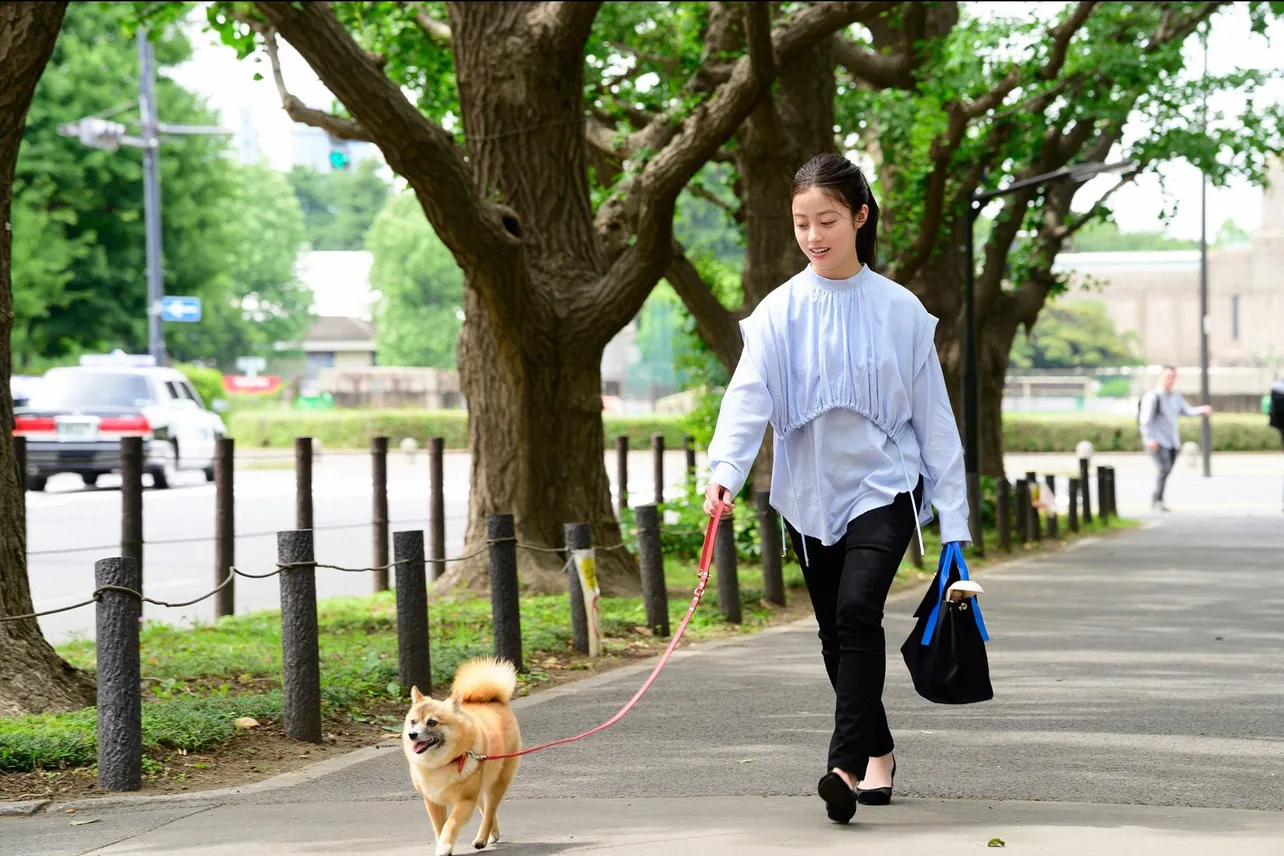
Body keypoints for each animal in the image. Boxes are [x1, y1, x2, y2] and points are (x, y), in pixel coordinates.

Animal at [400, 662, 521, 852]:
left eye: (432, 722)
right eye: (413, 722)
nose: (412, 735)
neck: (442, 763)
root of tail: (495, 700)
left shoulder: (464, 801)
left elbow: (450, 825)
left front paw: (444, 847)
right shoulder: (434, 802)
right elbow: (439, 827)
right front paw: (441, 843)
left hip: (497, 783)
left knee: (490, 811)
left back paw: (482, 838)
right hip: (478, 791)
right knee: (486, 809)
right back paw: (493, 833)